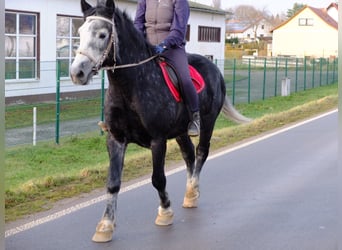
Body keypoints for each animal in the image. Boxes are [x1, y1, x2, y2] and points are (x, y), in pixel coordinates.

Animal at [70, 0, 248, 243]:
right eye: (79, 32)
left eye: (102, 34)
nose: (76, 73)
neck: (130, 87)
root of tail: (213, 68)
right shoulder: (115, 140)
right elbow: (113, 182)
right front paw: (105, 225)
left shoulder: (158, 140)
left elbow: (158, 179)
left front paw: (165, 211)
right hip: (181, 131)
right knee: (189, 155)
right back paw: (189, 192)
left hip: (208, 122)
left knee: (201, 152)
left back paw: (192, 191)